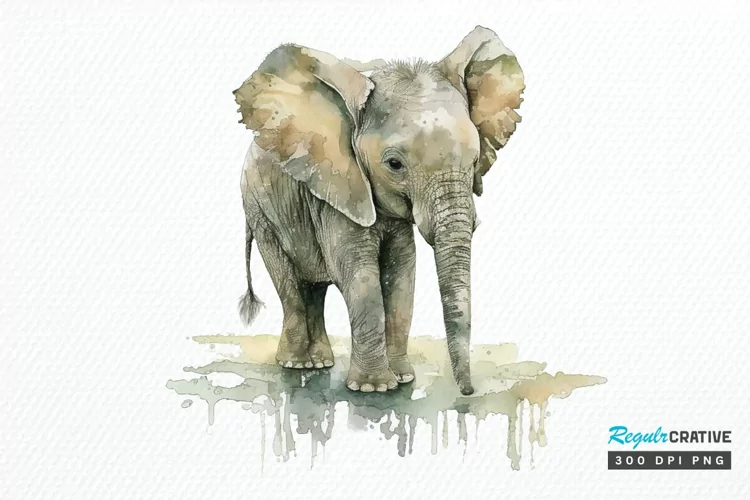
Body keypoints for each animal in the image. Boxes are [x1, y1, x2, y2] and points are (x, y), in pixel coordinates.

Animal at [233, 26, 525, 395]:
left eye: (474, 162)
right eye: (394, 165)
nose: (468, 393)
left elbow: (401, 272)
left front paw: (402, 379)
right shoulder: (337, 189)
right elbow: (359, 274)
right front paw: (373, 388)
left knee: (313, 287)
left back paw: (319, 363)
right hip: (260, 209)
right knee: (289, 282)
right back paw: (297, 365)